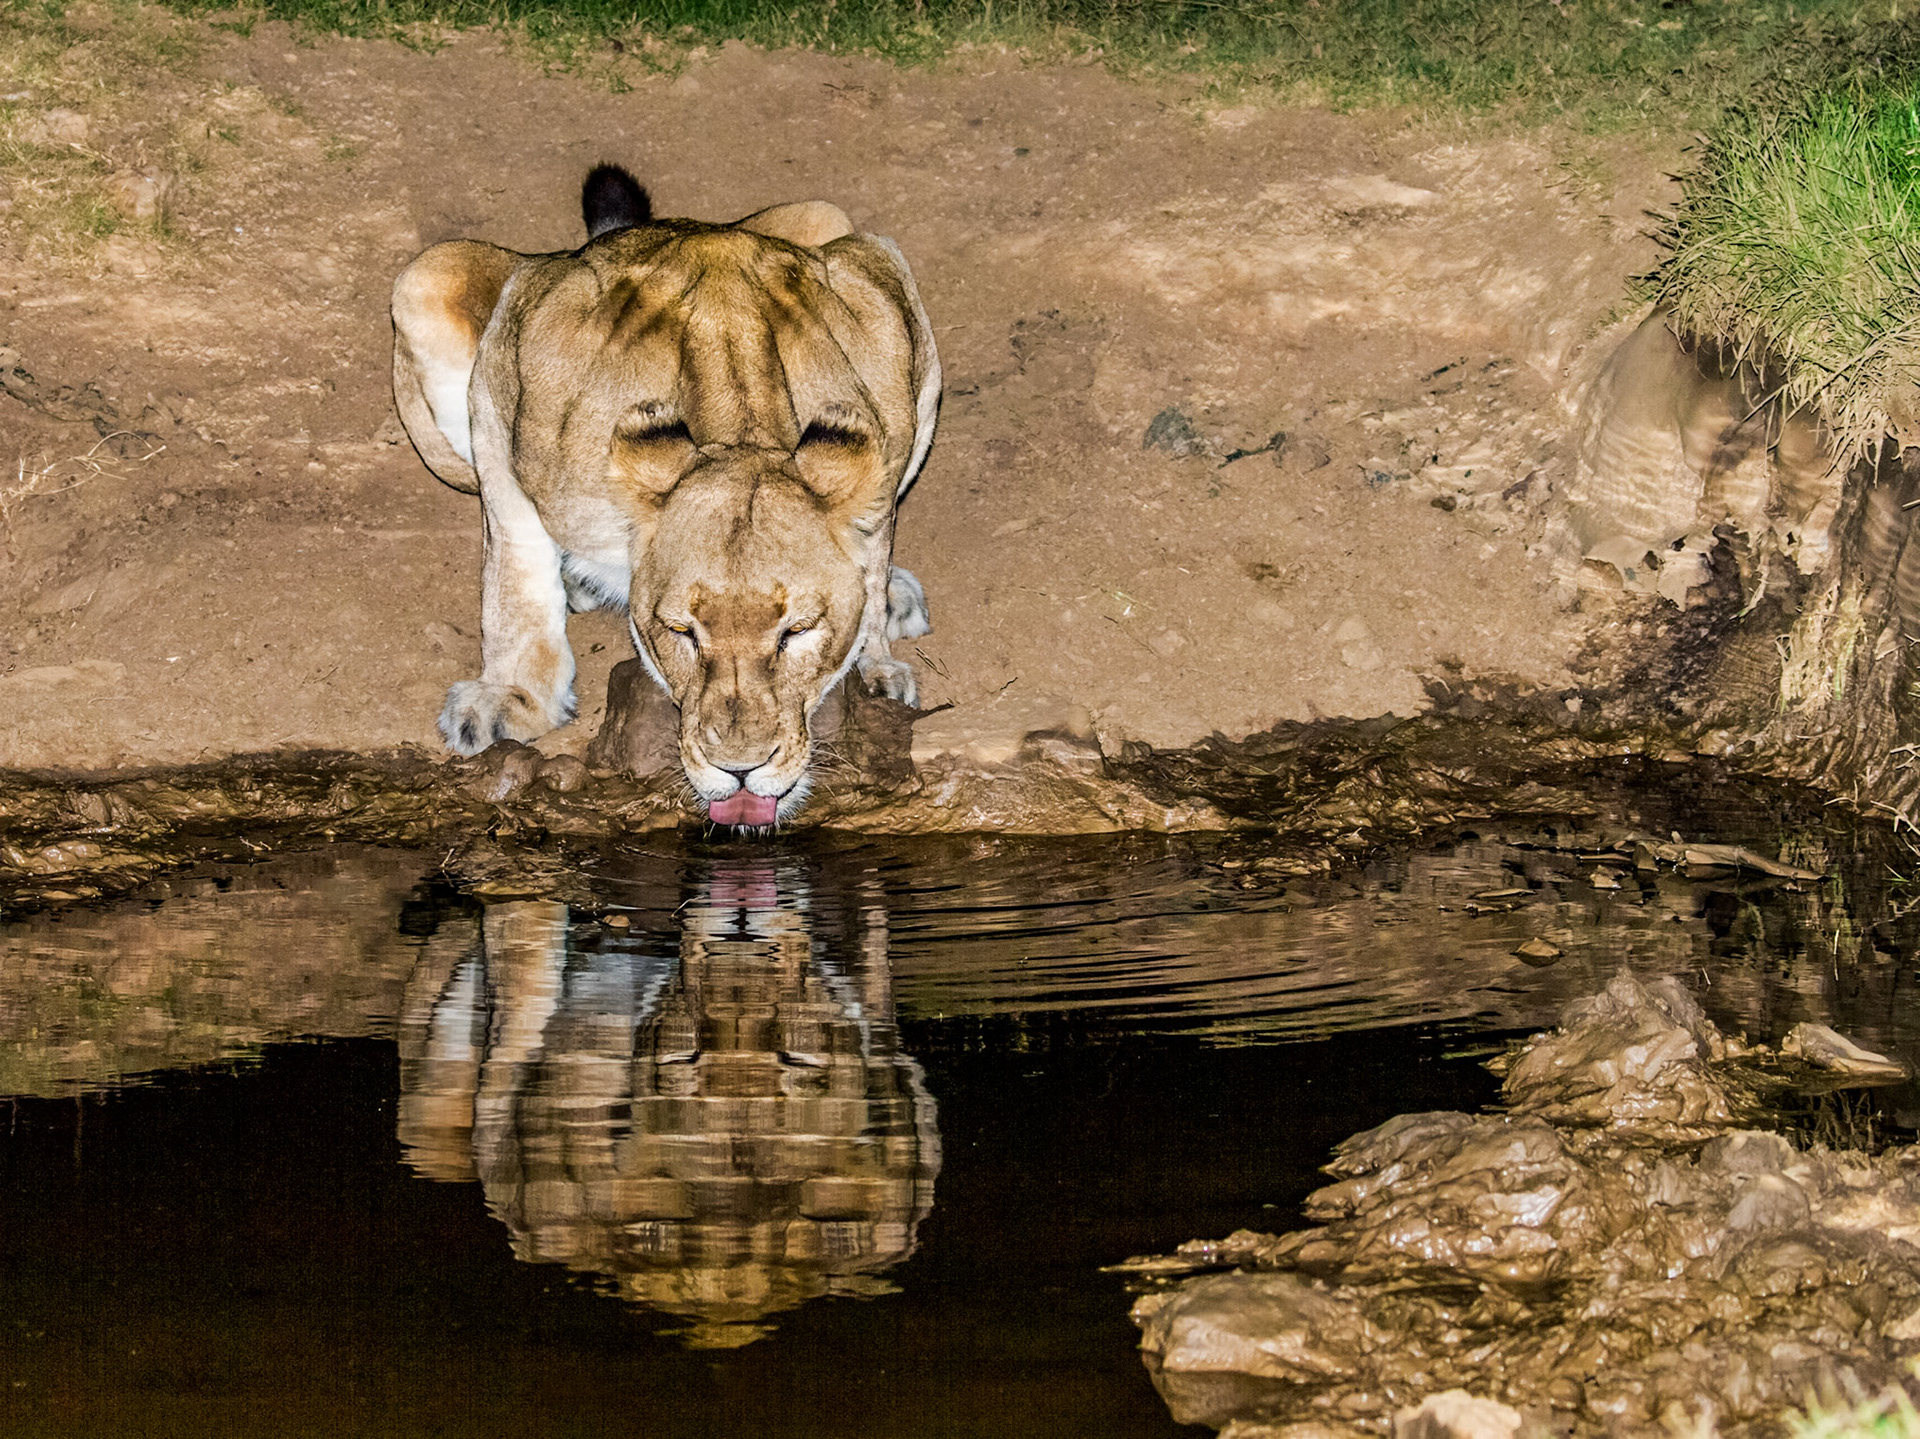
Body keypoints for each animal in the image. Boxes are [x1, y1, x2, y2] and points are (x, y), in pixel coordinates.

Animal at [390, 164, 939, 828]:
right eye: (682, 633)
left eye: (797, 632)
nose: (740, 768)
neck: (738, 427)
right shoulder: (511, 359)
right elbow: (514, 574)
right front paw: (511, 697)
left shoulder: (883, 304)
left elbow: (875, 545)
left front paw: (875, 658)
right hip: (428, 276)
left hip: (828, 218)